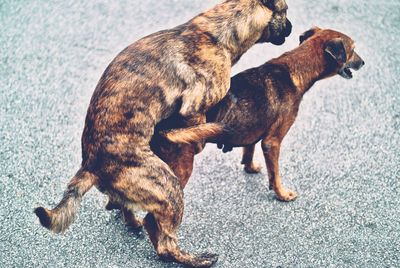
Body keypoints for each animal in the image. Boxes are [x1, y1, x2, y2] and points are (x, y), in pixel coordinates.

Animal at [34, 1, 290, 266]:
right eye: (286, 12)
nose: (291, 28)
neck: (215, 33)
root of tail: (90, 165)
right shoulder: (194, 105)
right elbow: (198, 124)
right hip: (169, 189)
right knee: (165, 244)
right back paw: (197, 258)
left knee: (127, 209)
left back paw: (131, 219)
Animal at [158, 27, 364, 201]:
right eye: (352, 50)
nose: (363, 62)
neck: (294, 70)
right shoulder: (272, 142)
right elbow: (275, 174)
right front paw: (282, 194)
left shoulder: (254, 129)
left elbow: (249, 149)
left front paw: (250, 167)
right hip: (181, 167)